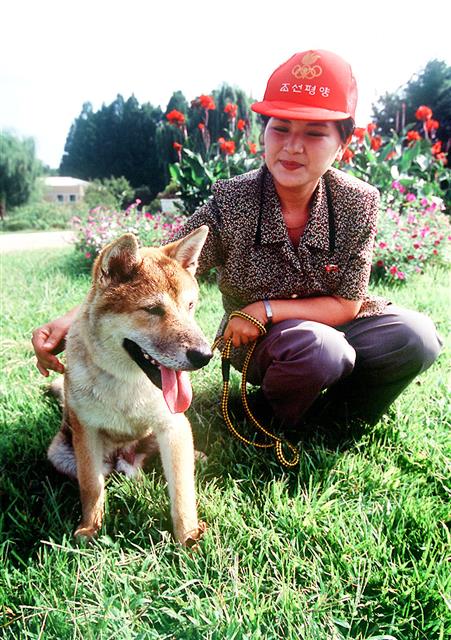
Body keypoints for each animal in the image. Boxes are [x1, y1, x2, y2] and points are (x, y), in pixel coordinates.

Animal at [47, 225, 214, 544]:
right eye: (153, 310)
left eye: (190, 305)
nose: (205, 356)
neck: (128, 383)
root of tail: (125, 460)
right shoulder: (86, 432)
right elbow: (91, 487)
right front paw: (90, 528)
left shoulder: (172, 426)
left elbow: (182, 493)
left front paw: (188, 538)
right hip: (60, 453)